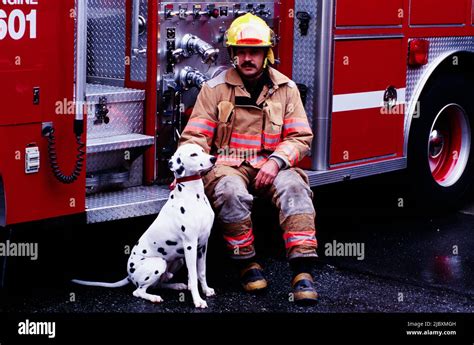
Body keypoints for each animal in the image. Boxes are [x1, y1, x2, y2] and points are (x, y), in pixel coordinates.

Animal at [71, 144, 215, 308]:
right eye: (193, 154)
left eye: (203, 151)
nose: (213, 158)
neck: (194, 195)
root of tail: (129, 275)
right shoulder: (190, 245)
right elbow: (193, 274)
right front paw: (198, 300)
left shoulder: (202, 245)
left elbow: (201, 272)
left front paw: (206, 290)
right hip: (158, 263)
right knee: (138, 291)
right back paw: (153, 297)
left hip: (178, 260)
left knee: (158, 284)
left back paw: (175, 285)